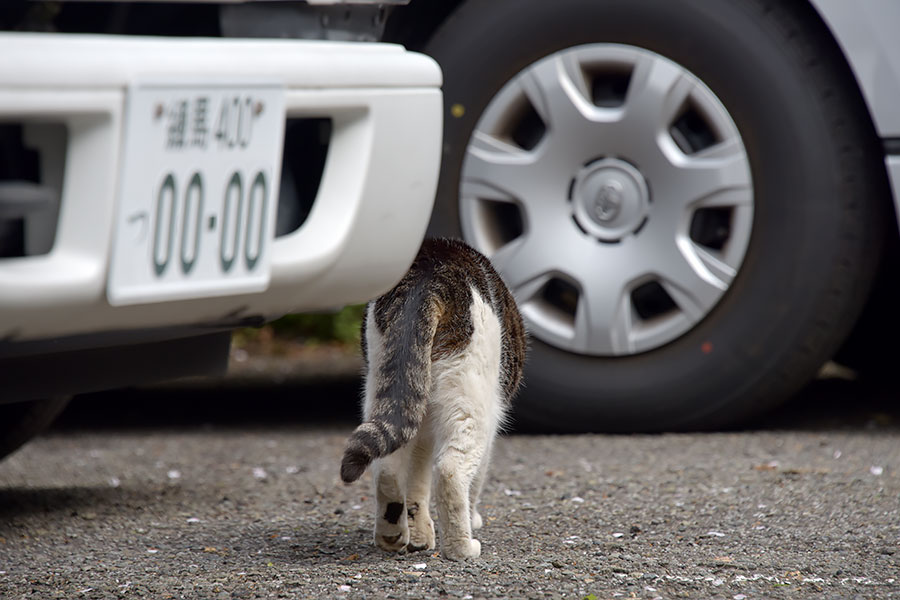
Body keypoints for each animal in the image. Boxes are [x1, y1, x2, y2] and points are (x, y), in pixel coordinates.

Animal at [342, 237, 528, 560]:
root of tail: (430, 268)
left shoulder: (422, 433)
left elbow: (416, 483)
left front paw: (418, 534)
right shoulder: (488, 428)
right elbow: (475, 480)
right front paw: (472, 518)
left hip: (384, 387)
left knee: (386, 465)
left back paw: (392, 534)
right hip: (470, 401)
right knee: (451, 472)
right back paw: (462, 548)